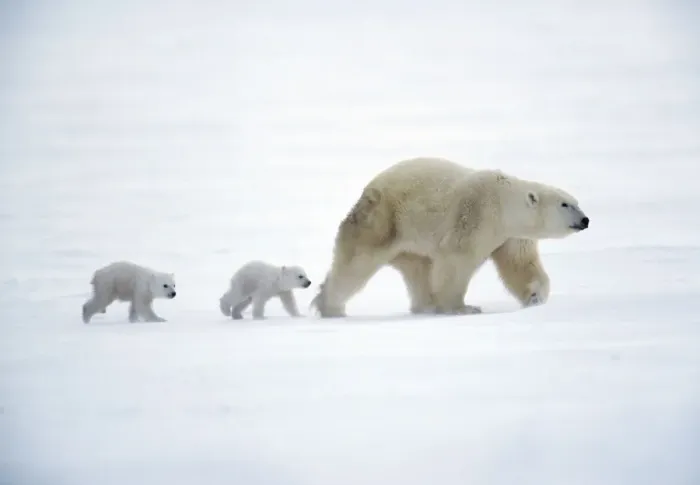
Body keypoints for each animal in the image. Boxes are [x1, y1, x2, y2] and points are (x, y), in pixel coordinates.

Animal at [310, 156, 589, 318]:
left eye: (577, 202)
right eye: (565, 204)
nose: (585, 220)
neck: (504, 202)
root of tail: (367, 190)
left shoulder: (511, 235)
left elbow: (519, 263)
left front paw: (535, 297)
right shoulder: (477, 213)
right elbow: (456, 260)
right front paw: (463, 308)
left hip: (409, 244)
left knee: (419, 270)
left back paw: (426, 306)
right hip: (384, 221)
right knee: (357, 263)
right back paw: (331, 307)